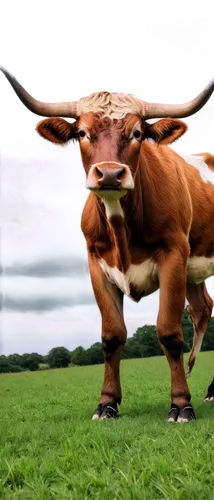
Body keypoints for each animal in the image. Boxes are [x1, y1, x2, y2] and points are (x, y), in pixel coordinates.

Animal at [0, 63, 213, 422]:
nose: (111, 174)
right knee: (203, 310)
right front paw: (107, 403)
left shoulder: (173, 255)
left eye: (138, 133)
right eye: (82, 133)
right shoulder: (96, 265)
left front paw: (181, 404)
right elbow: (112, 335)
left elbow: (169, 332)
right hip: (195, 273)